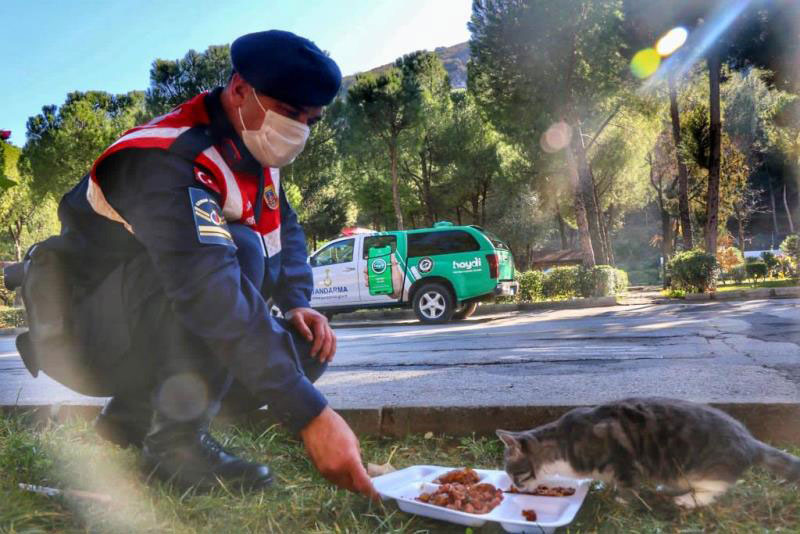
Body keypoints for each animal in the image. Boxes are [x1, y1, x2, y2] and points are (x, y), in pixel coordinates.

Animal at [496, 400, 796, 508]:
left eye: (514, 475)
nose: (514, 487)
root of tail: (750, 440)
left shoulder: (623, 461)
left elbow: (626, 487)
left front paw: (620, 500)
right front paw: (601, 486)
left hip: (706, 468)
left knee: (716, 487)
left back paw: (688, 499)